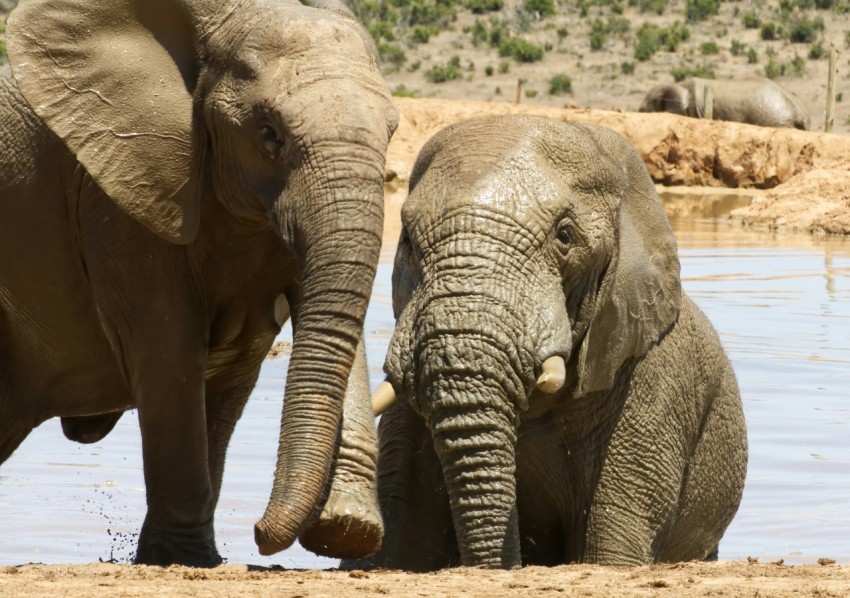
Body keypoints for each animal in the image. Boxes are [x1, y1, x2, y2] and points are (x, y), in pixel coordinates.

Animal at [0, 0, 398, 567]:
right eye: (268, 133)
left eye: (392, 131)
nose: (259, 533)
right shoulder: (118, 197)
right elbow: (171, 349)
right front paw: (183, 558)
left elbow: (235, 367)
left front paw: (346, 528)